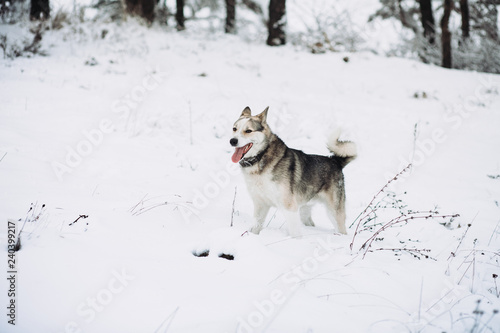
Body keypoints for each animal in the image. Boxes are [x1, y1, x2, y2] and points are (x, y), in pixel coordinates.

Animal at [229, 106, 358, 236]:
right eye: (234, 129)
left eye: (248, 131)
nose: (232, 141)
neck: (261, 157)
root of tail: (335, 161)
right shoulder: (261, 204)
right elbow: (255, 227)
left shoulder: (289, 207)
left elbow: (295, 233)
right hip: (305, 210)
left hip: (334, 212)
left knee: (342, 229)